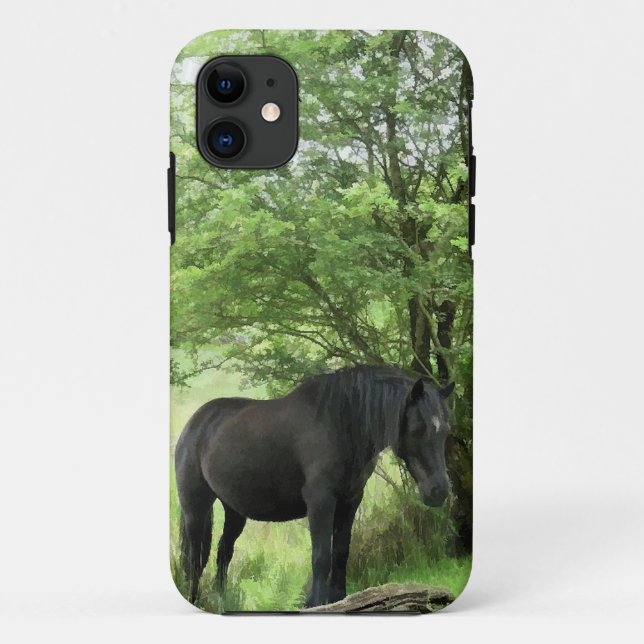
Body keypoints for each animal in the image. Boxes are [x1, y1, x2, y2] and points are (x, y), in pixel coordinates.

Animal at [174, 364, 454, 608]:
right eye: (418, 428)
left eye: (445, 431)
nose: (438, 491)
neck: (341, 424)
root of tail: (195, 423)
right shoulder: (321, 502)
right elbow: (321, 556)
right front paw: (315, 602)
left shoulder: (350, 501)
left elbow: (340, 553)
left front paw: (340, 599)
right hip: (195, 508)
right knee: (194, 559)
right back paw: (195, 598)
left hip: (234, 510)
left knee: (223, 552)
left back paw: (221, 600)